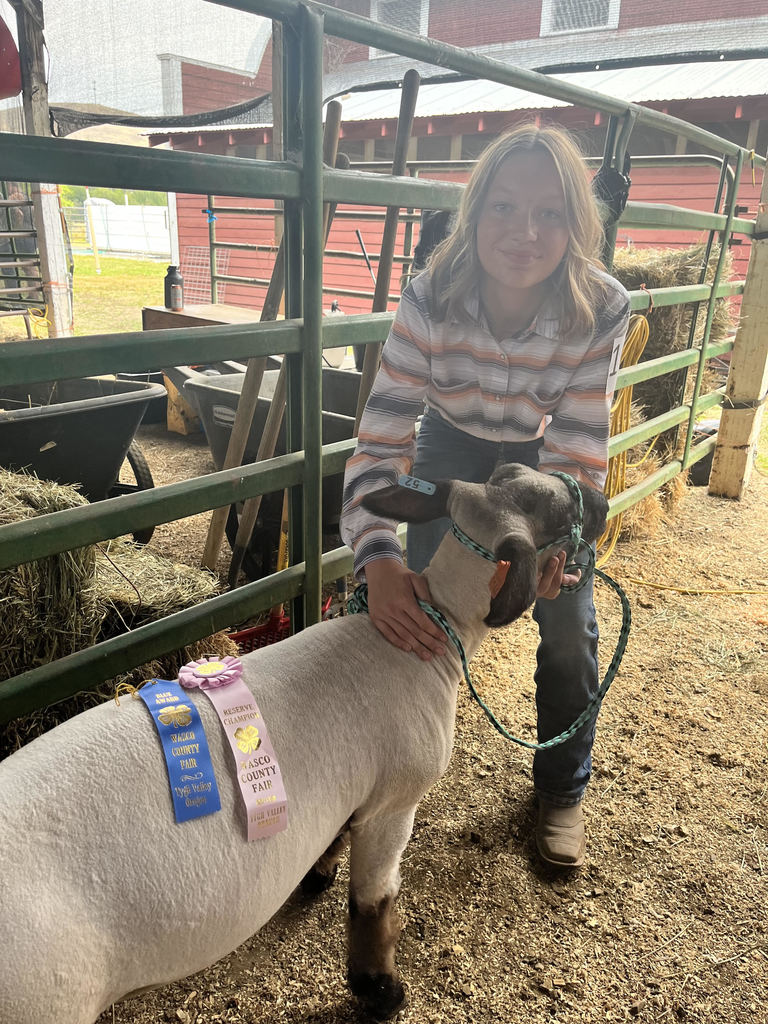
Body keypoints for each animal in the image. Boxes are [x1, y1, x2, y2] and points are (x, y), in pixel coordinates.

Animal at [0, 463, 608, 1024]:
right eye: (558, 513)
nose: (601, 500)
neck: (436, 634)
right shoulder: (395, 801)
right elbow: (373, 904)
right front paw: (380, 992)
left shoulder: (355, 793)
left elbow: (336, 833)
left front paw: (319, 872)